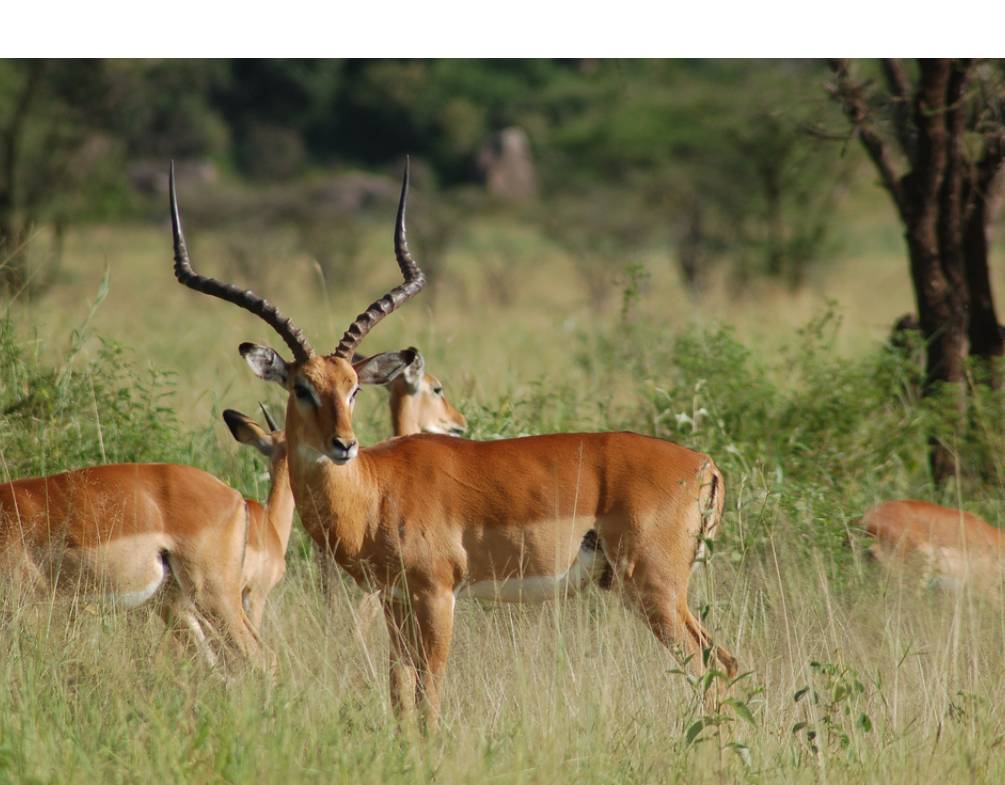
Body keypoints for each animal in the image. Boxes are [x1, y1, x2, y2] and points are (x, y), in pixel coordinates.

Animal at [169, 160, 735, 726]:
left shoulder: (437, 595)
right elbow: (399, 693)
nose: (343, 444)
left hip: (655, 587)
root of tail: (704, 465)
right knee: (722, 662)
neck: (375, 491)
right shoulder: (395, 601)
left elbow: (430, 694)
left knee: (713, 664)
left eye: (354, 388)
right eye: (301, 387)